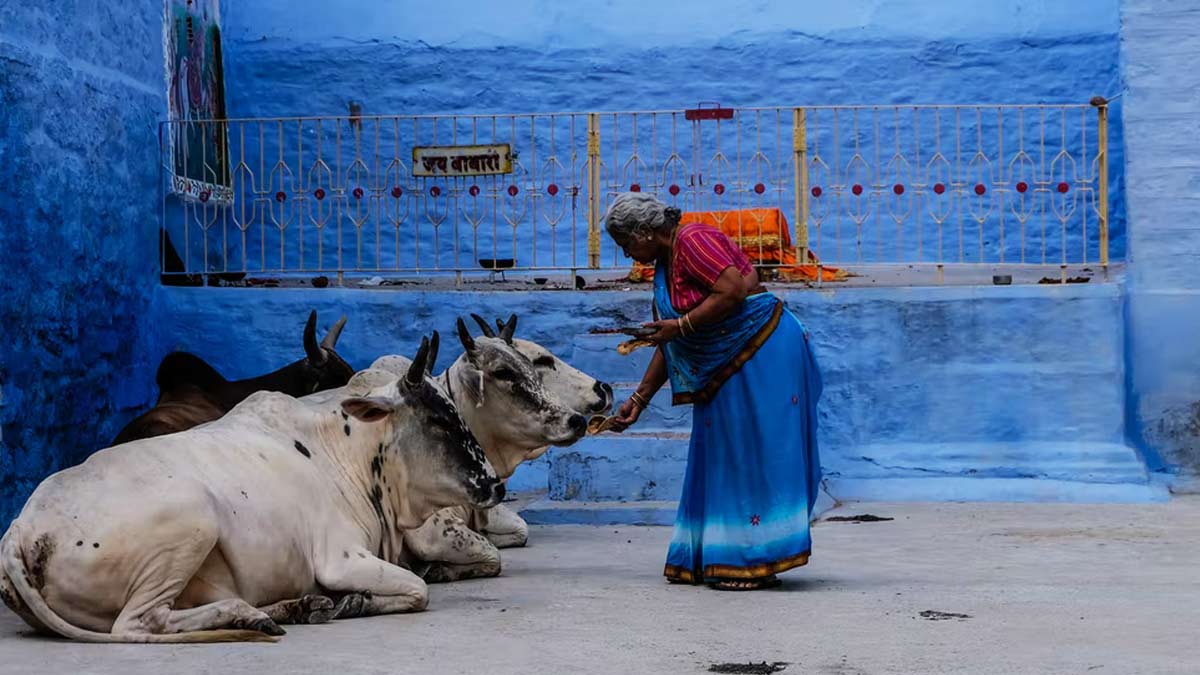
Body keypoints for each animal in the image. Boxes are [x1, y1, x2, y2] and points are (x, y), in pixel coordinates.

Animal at [0, 336, 505, 643]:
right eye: (439, 420)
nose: (495, 485)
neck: (348, 453)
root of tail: (21, 529)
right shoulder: (341, 558)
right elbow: (418, 589)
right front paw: (356, 601)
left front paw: (345, 602)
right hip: (194, 518)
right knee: (138, 623)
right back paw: (248, 613)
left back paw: (294, 606)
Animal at [370, 314, 612, 583]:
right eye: (503, 372)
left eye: (529, 365)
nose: (576, 421)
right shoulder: (434, 532)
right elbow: (493, 556)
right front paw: (432, 569)